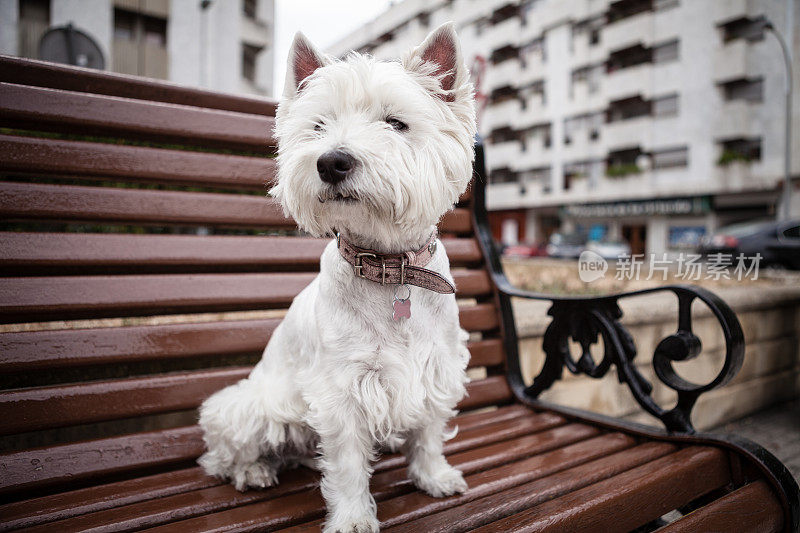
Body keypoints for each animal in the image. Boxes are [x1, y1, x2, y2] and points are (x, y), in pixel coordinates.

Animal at [198, 21, 476, 532]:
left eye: (395, 123)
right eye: (319, 126)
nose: (331, 162)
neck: (389, 265)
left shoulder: (437, 367)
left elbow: (428, 432)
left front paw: (434, 477)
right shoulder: (342, 390)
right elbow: (347, 464)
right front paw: (352, 518)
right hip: (250, 408)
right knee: (223, 453)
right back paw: (253, 472)